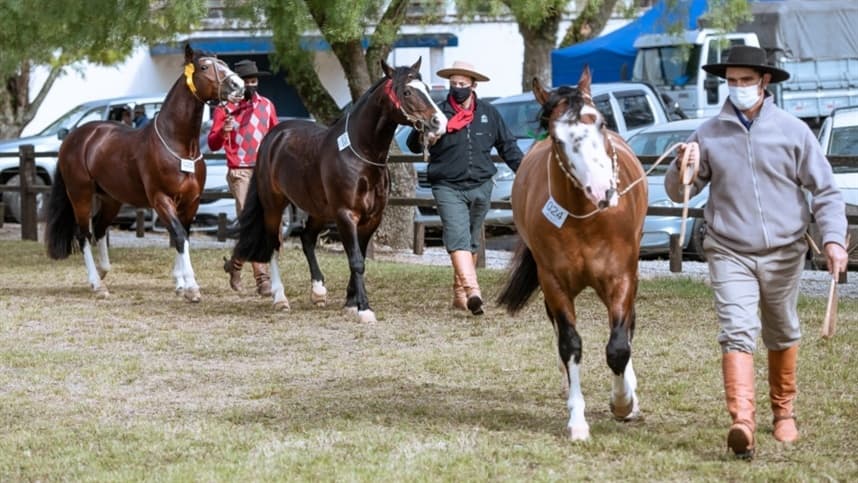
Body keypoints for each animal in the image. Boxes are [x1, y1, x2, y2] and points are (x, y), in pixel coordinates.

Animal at [44, 44, 244, 302]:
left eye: (225, 65)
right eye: (203, 67)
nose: (238, 86)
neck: (180, 146)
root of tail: (75, 137)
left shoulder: (191, 201)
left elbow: (183, 236)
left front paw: (180, 283)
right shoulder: (161, 199)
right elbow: (179, 235)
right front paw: (191, 287)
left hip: (111, 199)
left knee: (99, 228)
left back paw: (103, 271)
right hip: (80, 195)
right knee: (84, 234)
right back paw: (97, 284)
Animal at [232, 58, 447, 322]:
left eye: (426, 87)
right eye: (407, 92)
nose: (439, 123)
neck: (360, 156)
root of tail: (273, 136)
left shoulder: (371, 219)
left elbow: (360, 257)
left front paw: (351, 302)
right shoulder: (346, 215)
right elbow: (355, 260)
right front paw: (364, 309)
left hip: (319, 210)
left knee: (306, 239)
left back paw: (318, 291)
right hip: (274, 205)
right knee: (274, 245)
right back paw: (280, 298)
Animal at [496, 68, 648, 441]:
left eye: (601, 123)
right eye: (556, 137)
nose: (602, 190)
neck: (587, 217)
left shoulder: (621, 278)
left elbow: (618, 347)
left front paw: (623, 403)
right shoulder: (554, 285)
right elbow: (570, 345)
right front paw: (577, 420)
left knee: (627, 328)